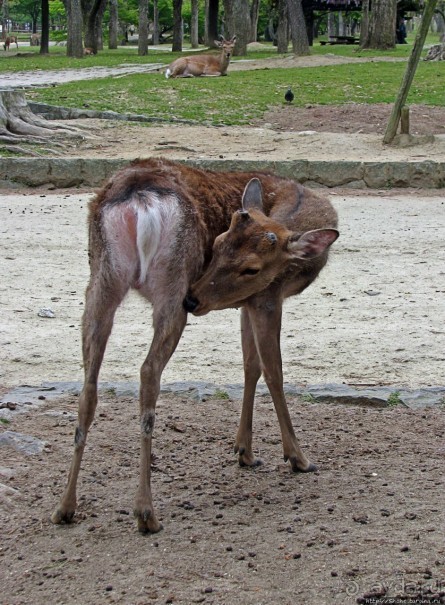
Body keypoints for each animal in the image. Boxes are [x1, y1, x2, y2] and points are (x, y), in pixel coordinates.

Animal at [51, 157, 336, 532]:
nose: (195, 299)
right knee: (148, 373)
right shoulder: (266, 297)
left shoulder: (246, 301)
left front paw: (244, 451)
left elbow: (250, 365)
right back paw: (146, 513)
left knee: (89, 386)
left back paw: (65, 507)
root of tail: (138, 198)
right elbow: (273, 370)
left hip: (102, 277)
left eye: (248, 267)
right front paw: (298, 458)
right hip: (171, 282)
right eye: (216, 244)